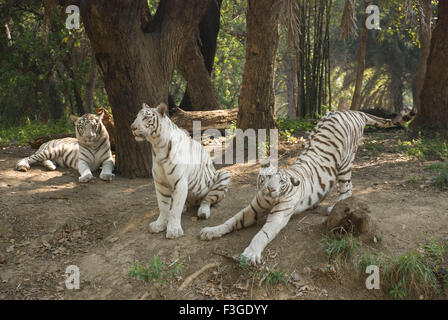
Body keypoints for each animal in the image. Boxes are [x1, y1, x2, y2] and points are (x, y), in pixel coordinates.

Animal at [130, 102, 231, 238]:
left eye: (146, 118)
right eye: (137, 117)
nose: (132, 127)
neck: (158, 146)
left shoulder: (180, 182)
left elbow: (175, 209)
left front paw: (173, 230)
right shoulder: (160, 183)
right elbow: (163, 205)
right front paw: (159, 224)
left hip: (224, 175)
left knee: (206, 200)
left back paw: (203, 212)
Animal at [201, 111, 408, 264]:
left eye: (281, 182)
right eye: (267, 178)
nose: (270, 190)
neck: (270, 199)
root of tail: (353, 111)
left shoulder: (278, 217)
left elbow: (261, 235)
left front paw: (250, 254)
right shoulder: (252, 209)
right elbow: (230, 221)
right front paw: (210, 231)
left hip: (345, 163)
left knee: (348, 187)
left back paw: (334, 207)